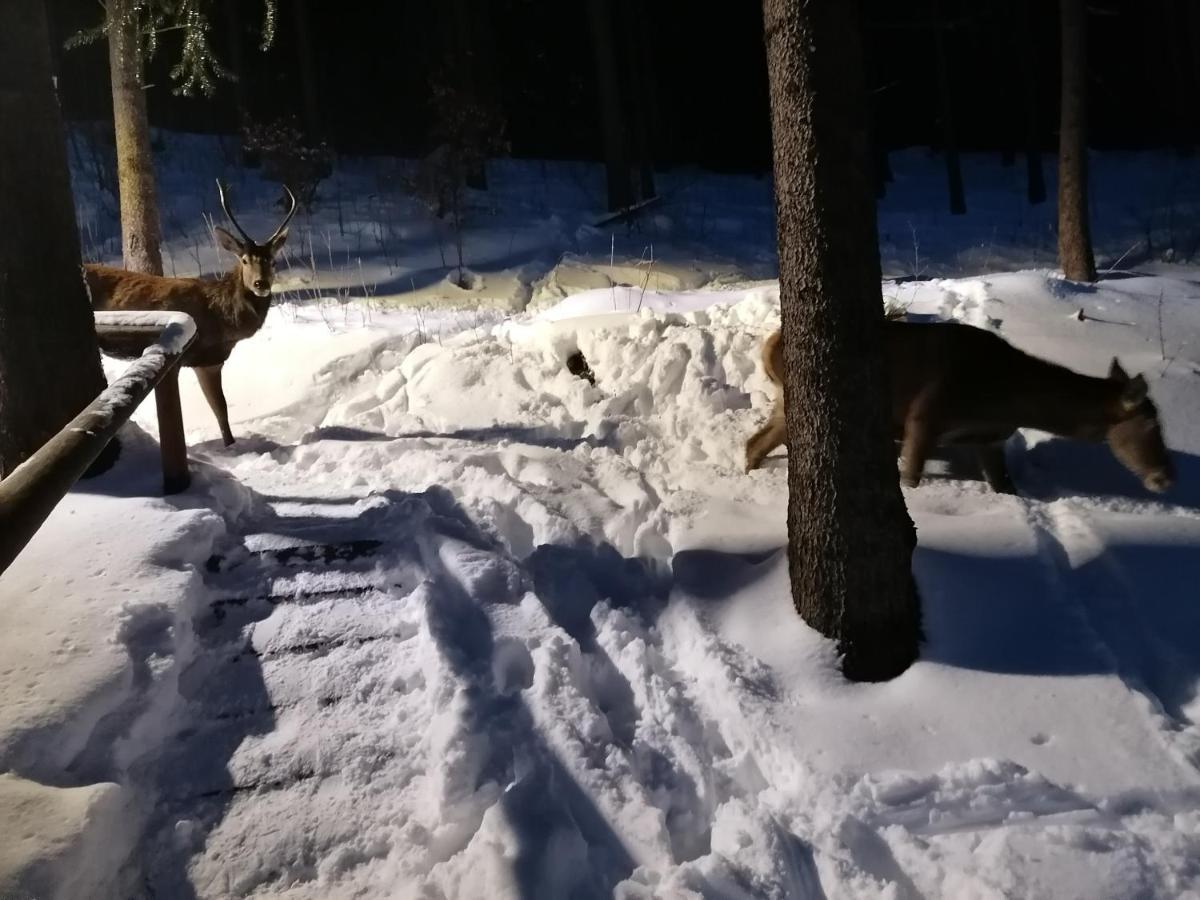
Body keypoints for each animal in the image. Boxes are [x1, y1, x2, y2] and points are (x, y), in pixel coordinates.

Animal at [85, 182, 295, 448]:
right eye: (245, 260)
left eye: (273, 261)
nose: (261, 284)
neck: (220, 318)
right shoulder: (193, 358)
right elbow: (219, 410)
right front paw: (230, 446)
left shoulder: (212, 360)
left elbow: (221, 408)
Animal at [744, 321, 1176, 496]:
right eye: (1150, 423)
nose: (1166, 477)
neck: (1005, 399)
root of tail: (769, 344)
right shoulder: (925, 416)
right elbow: (912, 478)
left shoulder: (988, 439)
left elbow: (1005, 485)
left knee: (754, 442)